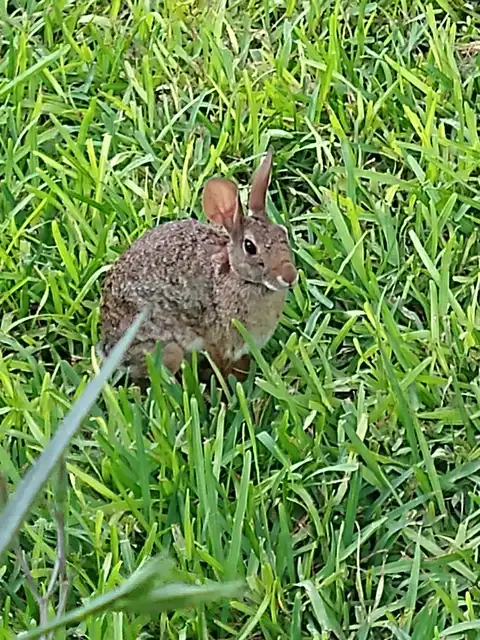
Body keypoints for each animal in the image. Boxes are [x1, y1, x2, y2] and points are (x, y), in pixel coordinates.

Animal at [100, 149, 297, 383]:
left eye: (283, 233)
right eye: (250, 247)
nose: (290, 276)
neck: (239, 277)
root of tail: (107, 346)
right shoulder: (219, 340)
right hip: (168, 349)